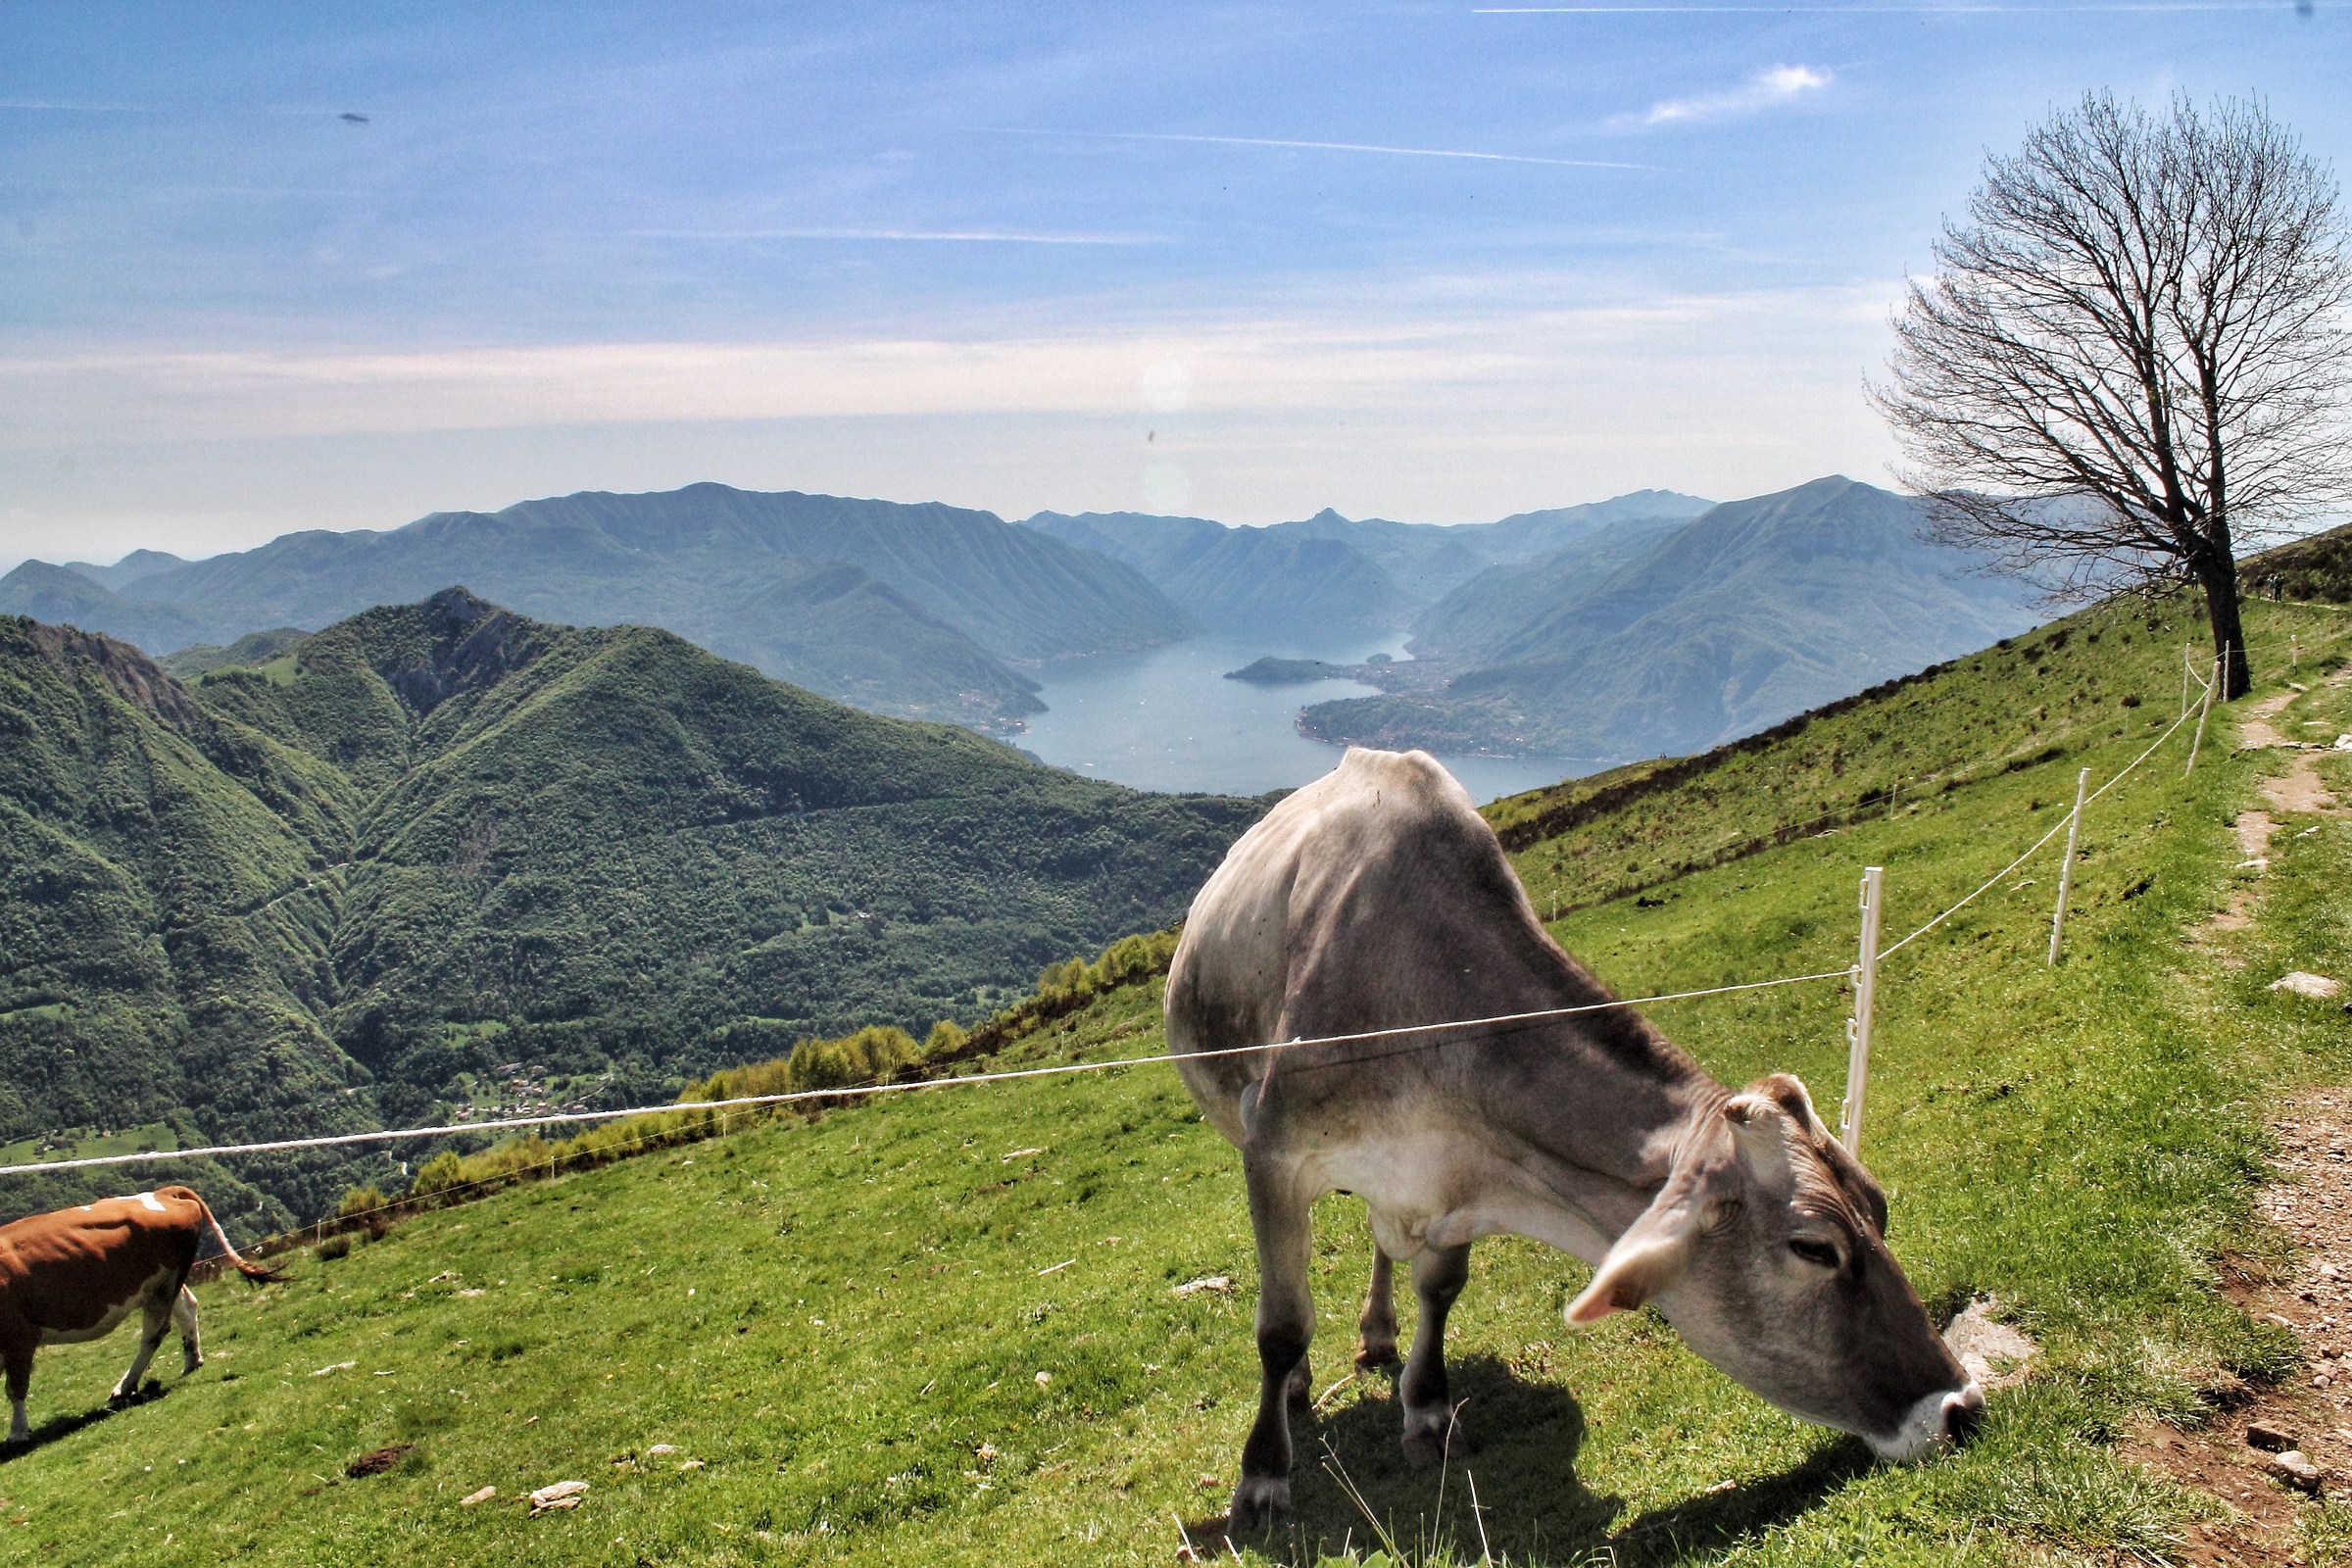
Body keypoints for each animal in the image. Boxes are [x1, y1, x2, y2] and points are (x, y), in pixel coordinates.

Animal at [0, 1185, 279, 1444]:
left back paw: (125, 1386)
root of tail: (162, 1193)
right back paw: (191, 1361)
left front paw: (18, 1432)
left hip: (166, 1281)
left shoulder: (19, 1336)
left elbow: (15, 1387)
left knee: (155, 1331)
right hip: (164, 1283)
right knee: (186, 1308)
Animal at [1166, 747, 1981, 1531]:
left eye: (1879, 1207)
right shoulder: (1274, 1152)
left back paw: (1379, 1331)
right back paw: (1304, 1385)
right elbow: (1281, 1326)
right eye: (1813, 1247)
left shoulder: (1464, 1174)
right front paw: (1262, 1479)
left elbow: (1441, 1288)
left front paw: (1427, 1409)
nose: (1961, 1409)